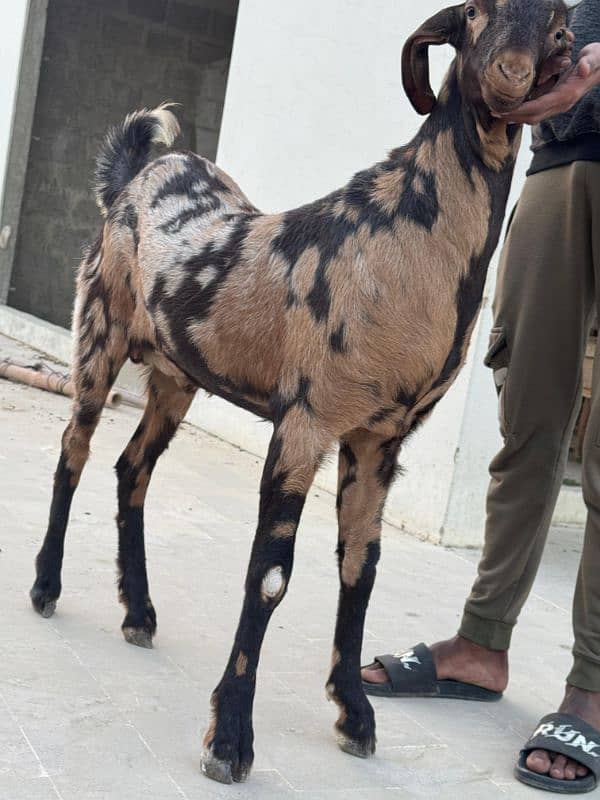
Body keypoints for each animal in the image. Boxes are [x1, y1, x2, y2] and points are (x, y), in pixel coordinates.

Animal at [30, 0, 576, 784]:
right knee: (72, 452)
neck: (413, 238)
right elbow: (271, 576)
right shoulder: (307, 422)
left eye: (560, 19)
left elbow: (361, 570)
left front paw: (355, 713)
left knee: (131, 468)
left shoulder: (379, 439)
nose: (522, 66)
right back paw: (47, 586)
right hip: (99, 330)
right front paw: (230, 740)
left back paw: (138, 611)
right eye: (474, 14)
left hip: (174, 377)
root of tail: (139, 170)